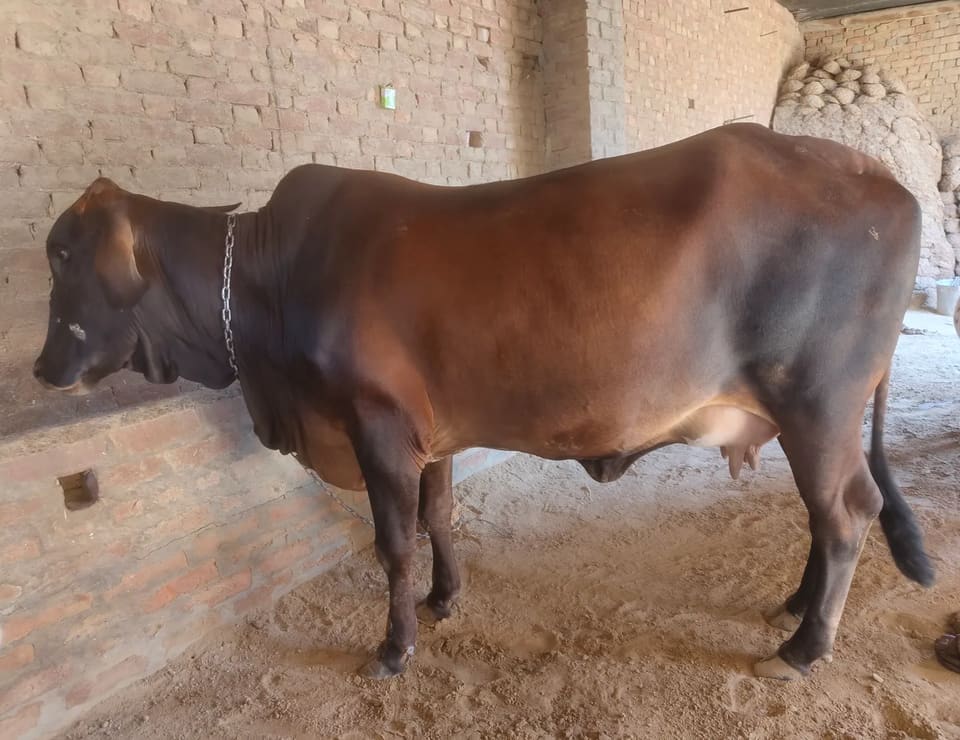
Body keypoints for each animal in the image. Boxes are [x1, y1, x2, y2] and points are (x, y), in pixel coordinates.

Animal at [33, 123, 932, 681]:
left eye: (63, 254)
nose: (42, 367)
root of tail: (878, 173)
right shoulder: (431, 433)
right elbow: (440, 517)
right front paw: (445, 598)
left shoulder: (377, 425)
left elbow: (393, 544)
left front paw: (393, 647)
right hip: (806, 415)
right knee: (824, 512)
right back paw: (797, 606)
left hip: (817, 401)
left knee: (847, 509)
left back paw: (804, 647)